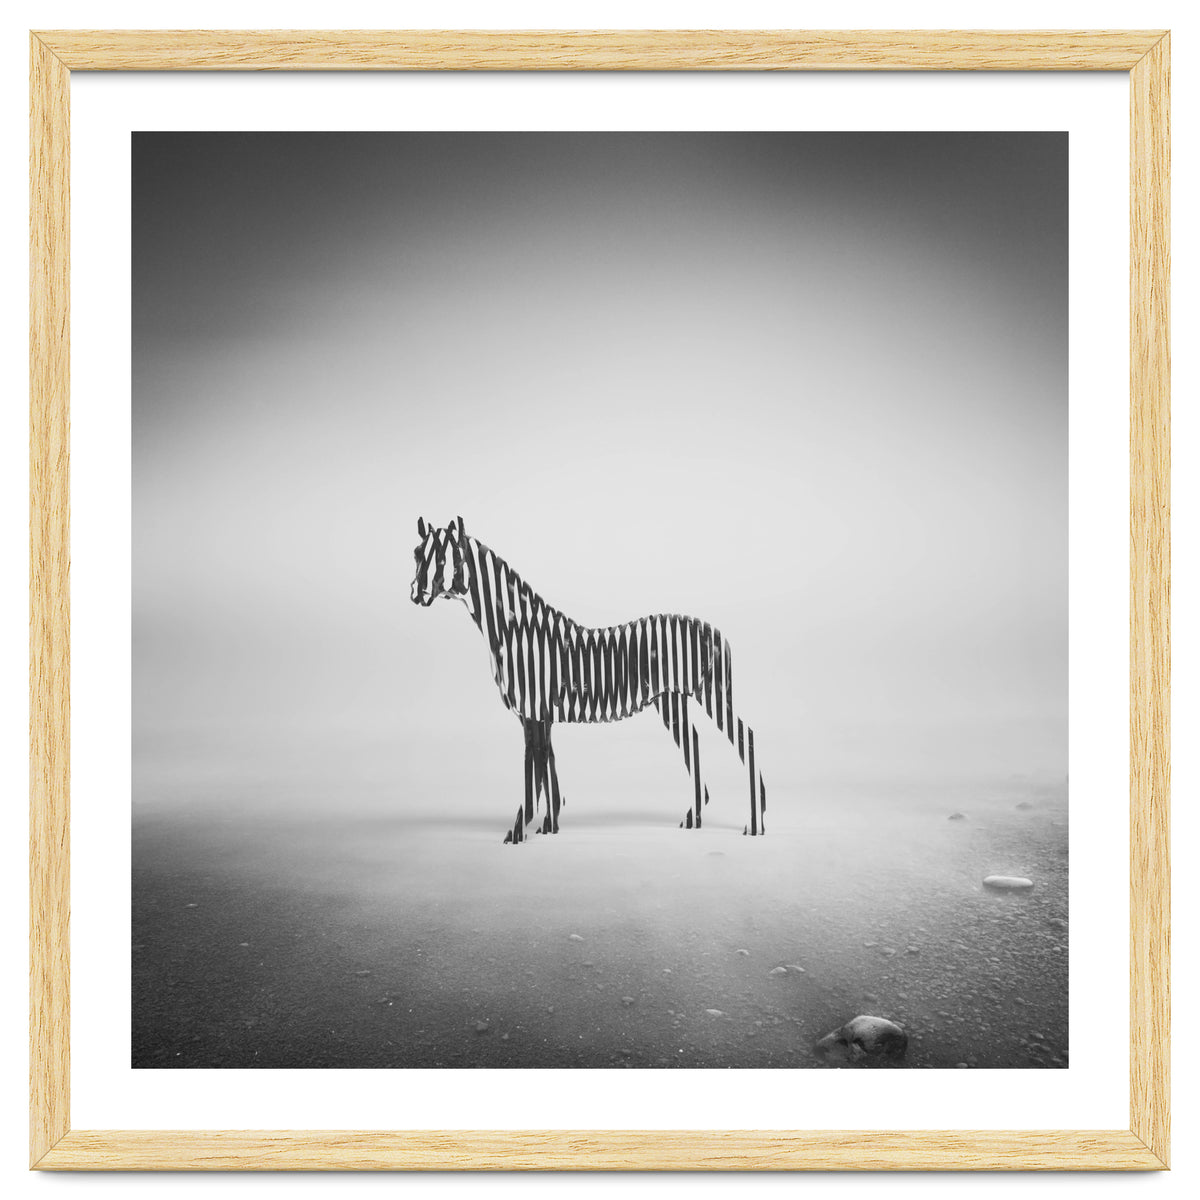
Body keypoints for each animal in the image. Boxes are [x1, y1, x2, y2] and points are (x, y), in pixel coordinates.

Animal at [410, 516, 766, 844]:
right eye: (416, 553)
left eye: (446, 559)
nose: (416, 594)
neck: (518, 632)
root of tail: (716, 631)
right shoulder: (540, 714)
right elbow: (547, 769)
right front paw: (549, 826)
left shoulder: (533, 711)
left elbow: (533, 773)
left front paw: (518, 831)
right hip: (671, 700)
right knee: (694, 742)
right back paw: (694, 818)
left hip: (711, 694)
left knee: (745, 737)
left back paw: (755, 823)